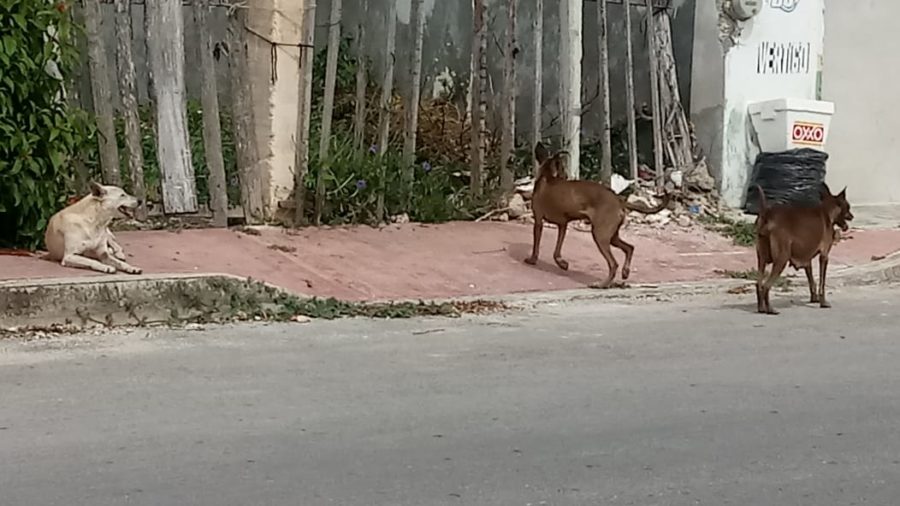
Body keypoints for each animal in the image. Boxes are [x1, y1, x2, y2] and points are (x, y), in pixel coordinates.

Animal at [528, 142, 668, 288]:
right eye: (562, 169)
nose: (565, 175)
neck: (547, 176)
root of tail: (618, 200)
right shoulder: (563, 225)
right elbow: (557, 250)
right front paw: (562, 263)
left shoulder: (538, 221)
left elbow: (536, 245)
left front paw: (532, 259)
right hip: (612, 236)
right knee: (630, 248)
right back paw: (625, 272)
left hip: (600, 235)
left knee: (613, 264)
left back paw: (602, 284)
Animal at [756, 184, 856, 314]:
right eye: (848, 207)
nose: (852, 216)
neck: (827, 211)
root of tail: (767, 213)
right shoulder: (824, 256)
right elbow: (822, 282)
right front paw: (823, 302)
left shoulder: (807, 259)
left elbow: (811, 280)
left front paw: (814, 298)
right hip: (782, 258)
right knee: (766, 286)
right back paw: (770, 309)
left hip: (761, 259)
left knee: (758, 284)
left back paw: (761, 308)